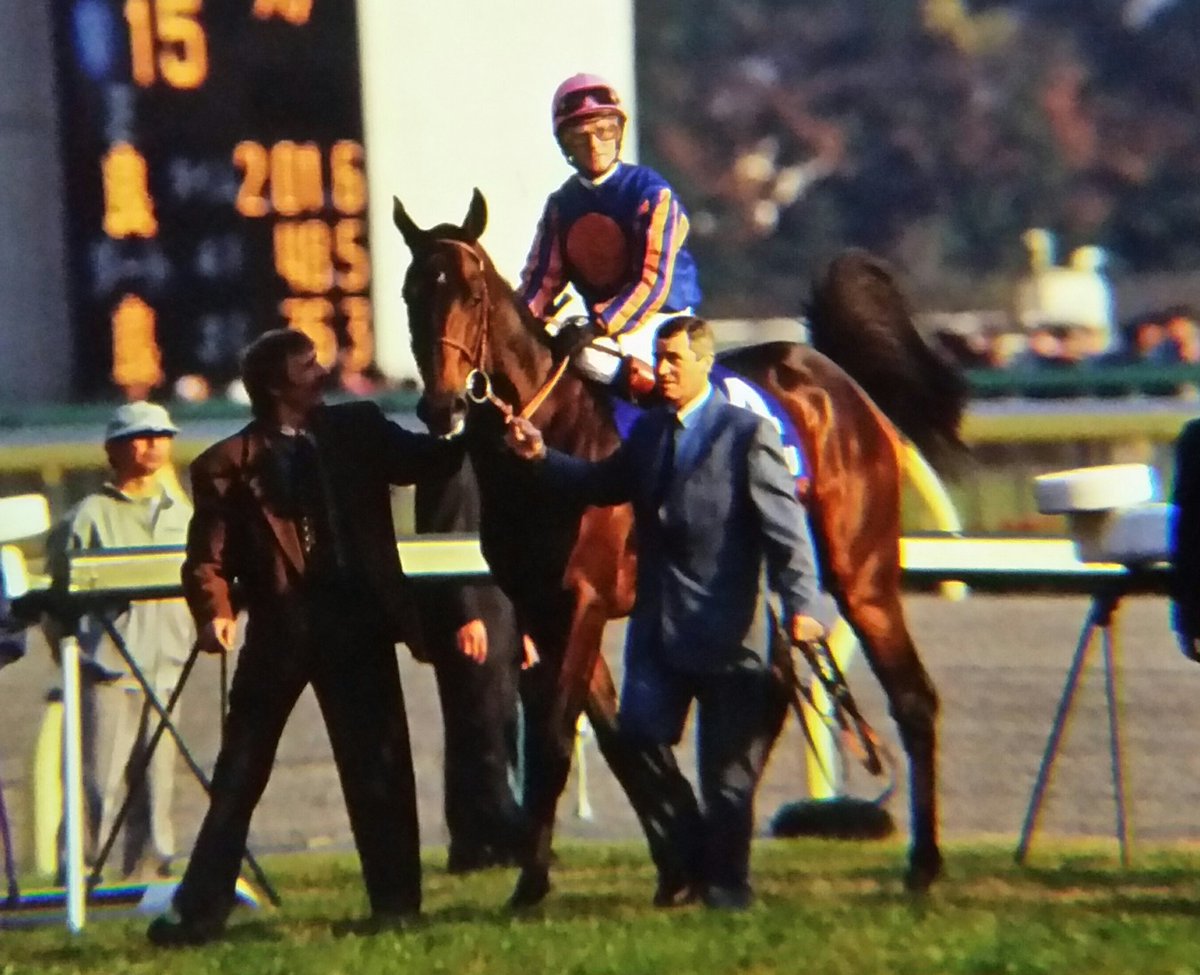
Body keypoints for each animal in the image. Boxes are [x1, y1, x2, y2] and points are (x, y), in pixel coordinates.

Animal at [393, 188, 966, 906]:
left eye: (471, 292)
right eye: (410, 291)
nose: (440, 407)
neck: (552, 440)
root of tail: (833, 377)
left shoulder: (582, 601)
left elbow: (557, 739)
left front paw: (532, 882)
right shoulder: (540, 607)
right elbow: (620, 738)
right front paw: (679, 864)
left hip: (860, 573)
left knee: (911, 699)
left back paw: (924, 863)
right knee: (774, 691)